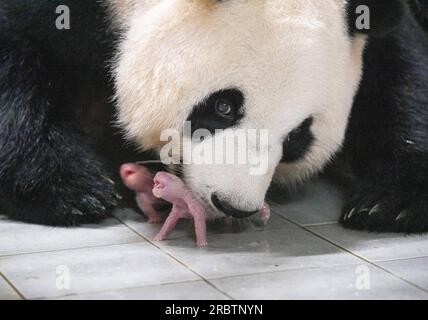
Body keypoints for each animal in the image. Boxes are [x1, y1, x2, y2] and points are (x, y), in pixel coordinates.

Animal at [0, 0, 426, 232]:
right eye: (223, 106)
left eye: (297, 138)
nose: (233, 204)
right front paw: (72, 189)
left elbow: (401, 72)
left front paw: (388, 203)